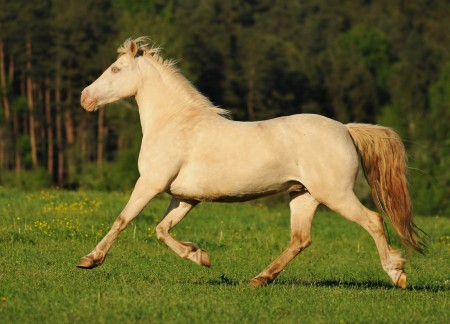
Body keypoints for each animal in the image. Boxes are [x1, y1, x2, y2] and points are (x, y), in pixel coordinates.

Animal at [77, 36, 422, 288]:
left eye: (115, 69)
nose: (84, 98)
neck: (174, 122)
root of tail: (346, 130)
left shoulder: (150, 183)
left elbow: (123, 220)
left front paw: (89, 260)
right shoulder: (185, 197)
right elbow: (161, 230)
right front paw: (200, 256)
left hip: (335, 195)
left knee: (373, 220)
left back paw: (397, 274)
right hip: (303, 195)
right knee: (300, 239)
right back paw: (259, 279)